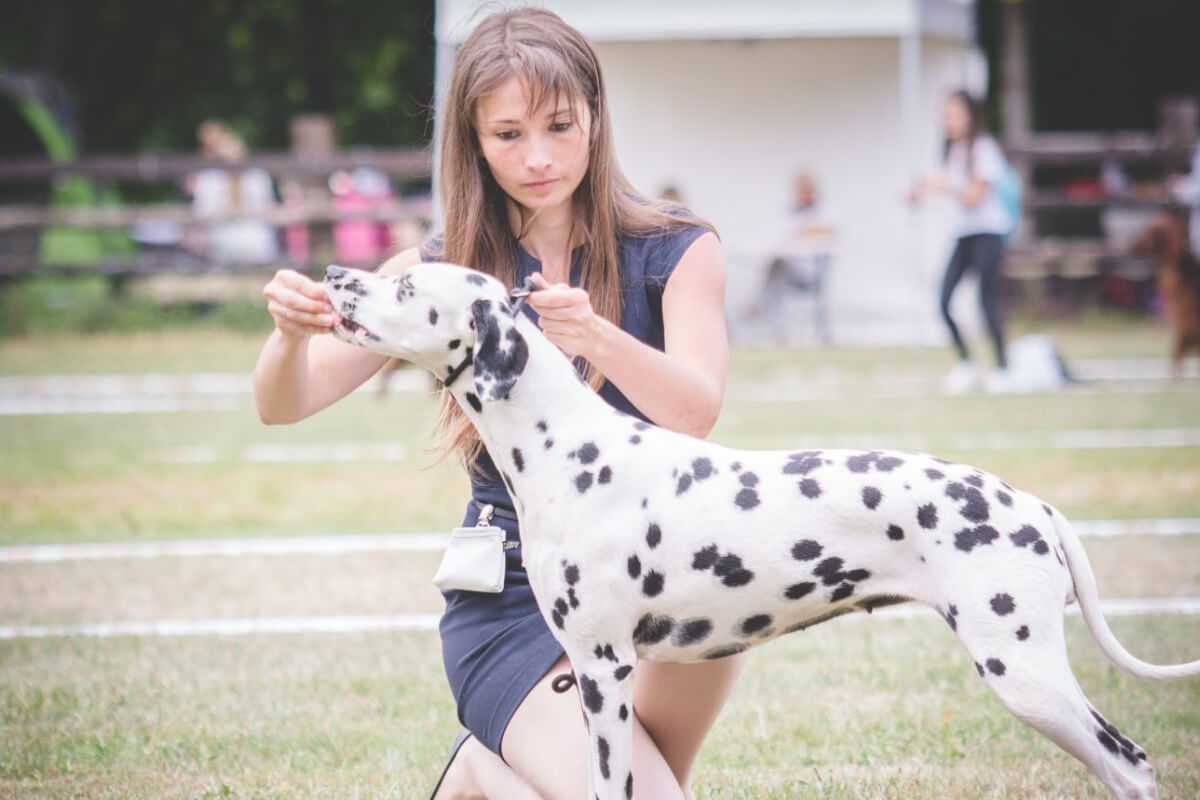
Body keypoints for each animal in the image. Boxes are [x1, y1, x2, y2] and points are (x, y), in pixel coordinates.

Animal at [324, 263, 1195, 800]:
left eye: (406, 283)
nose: (335, 275)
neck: (567, 448)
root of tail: (1033, 506)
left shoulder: (602, 671)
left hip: (1023, 668)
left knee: (1131, 764)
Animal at [1132, 209, 1200, 379]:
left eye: (1149, 232)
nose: (1131, 245)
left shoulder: (1187, 329)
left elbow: (1176, 357)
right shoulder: (1184, 330)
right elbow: (1175, 358)